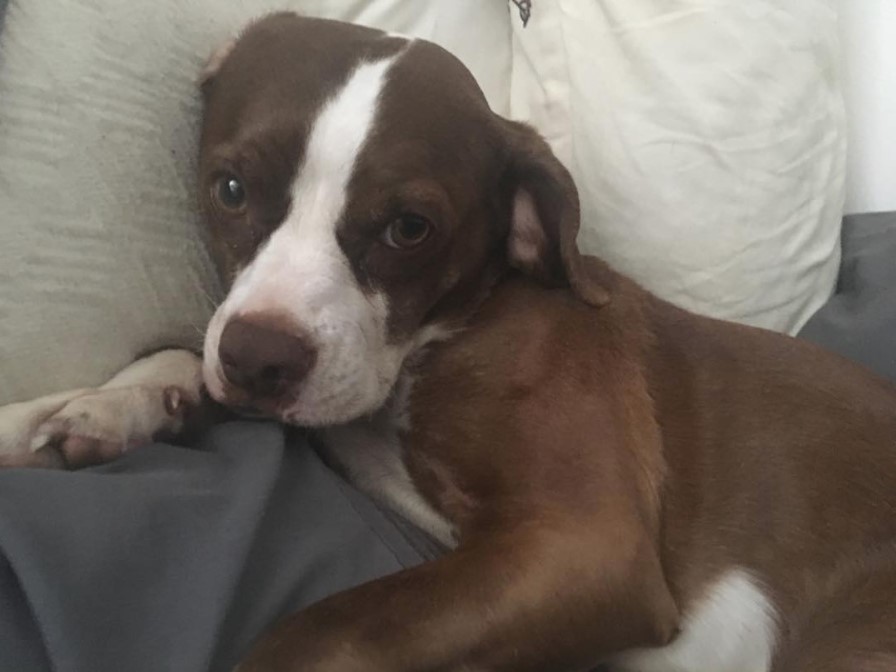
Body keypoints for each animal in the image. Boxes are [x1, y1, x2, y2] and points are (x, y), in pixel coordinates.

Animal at [1, 10, 896, 672]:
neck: (436, 342)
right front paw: (99, 405)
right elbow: (185, 358)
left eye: (408, 228)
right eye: (230, 188)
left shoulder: (583, 545)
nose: (261, 360)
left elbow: (323, 628)